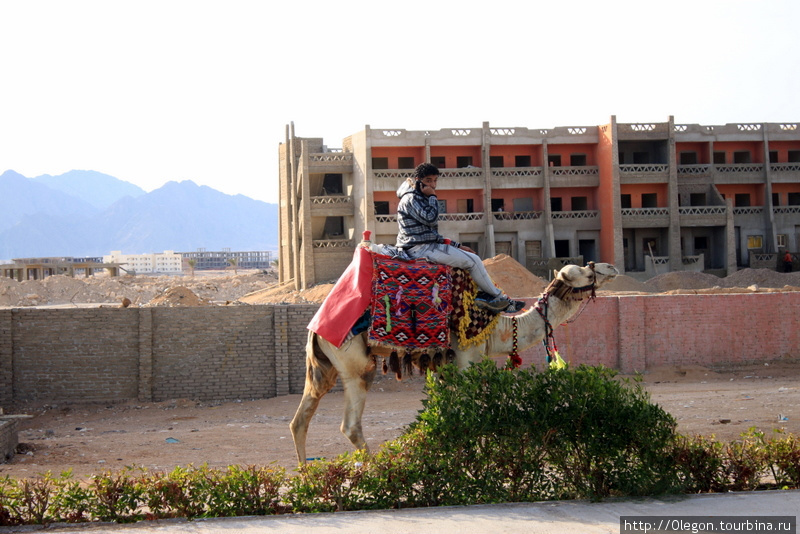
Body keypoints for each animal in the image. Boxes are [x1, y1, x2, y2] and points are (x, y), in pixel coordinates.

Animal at [290, 262, 620, 462]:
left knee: (300, 419)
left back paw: (305, 476)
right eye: (587, 274)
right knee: (350, 425)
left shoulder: (445, 366)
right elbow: (467, 412)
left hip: (324, 367)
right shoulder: (466, 359)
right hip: (353, 361)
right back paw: (376, 468)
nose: (610, 267)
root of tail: (315, 327)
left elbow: (444, 410)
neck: (498, 329)